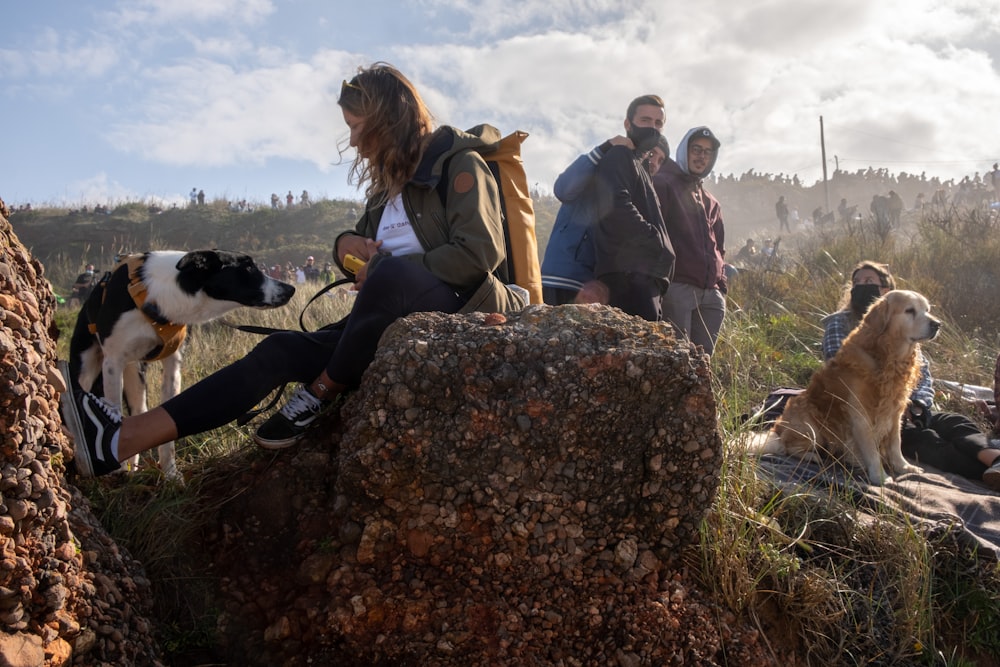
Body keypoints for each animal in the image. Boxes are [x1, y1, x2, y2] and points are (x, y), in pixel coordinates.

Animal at [68, 250, 294, 480]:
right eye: (247, 267)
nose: (290, 289)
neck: (160, 297)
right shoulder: (113, 361)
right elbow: (114, 407)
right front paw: (117, 469)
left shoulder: (173, 364)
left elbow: (166, 427)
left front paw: (170, 473)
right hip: (87, 366)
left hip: (135, 376)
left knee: (138, 411)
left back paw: (133, 468)